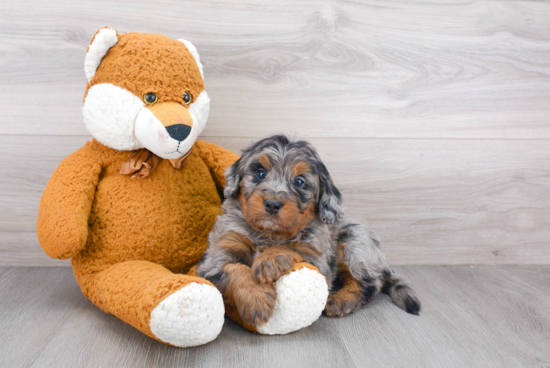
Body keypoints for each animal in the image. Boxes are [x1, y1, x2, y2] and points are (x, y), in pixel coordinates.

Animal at [198, 134, 422, 324]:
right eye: (260, 173)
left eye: (299, 182)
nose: (272, 204)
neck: (269, 234)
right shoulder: (219, 252)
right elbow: (235, 269)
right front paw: (257, 300)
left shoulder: (317, 260)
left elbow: (293, 247)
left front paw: (269, 259)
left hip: (355, 238)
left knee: (369, 283)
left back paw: (341, 300)